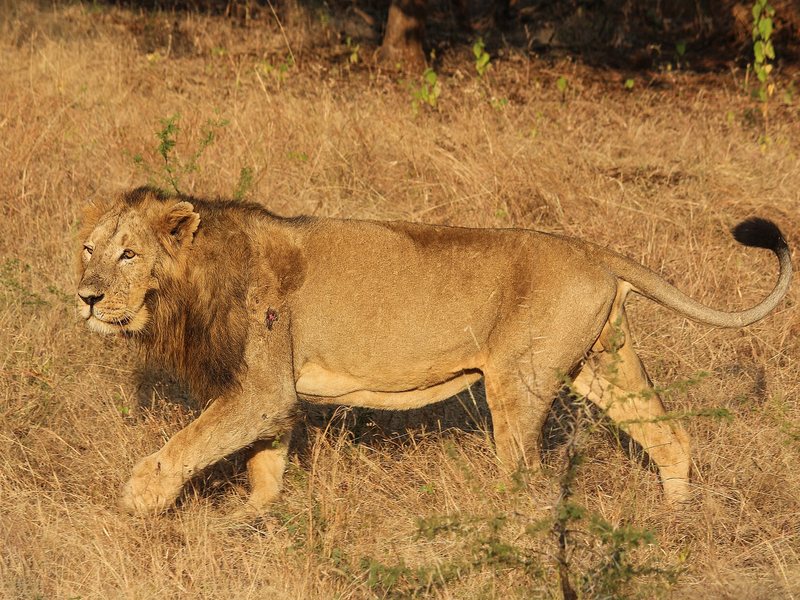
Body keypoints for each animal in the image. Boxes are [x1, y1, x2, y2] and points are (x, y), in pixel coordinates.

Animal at [76, 186, 792, 515]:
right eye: (88, 249)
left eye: (128, 254)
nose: (85, 297)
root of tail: (593, 251)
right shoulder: (272, 394)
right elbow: (264, 462)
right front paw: (250, 521)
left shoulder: (260, 386)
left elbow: (189, 441)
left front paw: (140, 499)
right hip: (603, 364)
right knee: (671, 436)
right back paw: (675, 519)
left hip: (518, 382)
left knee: (526, 472)